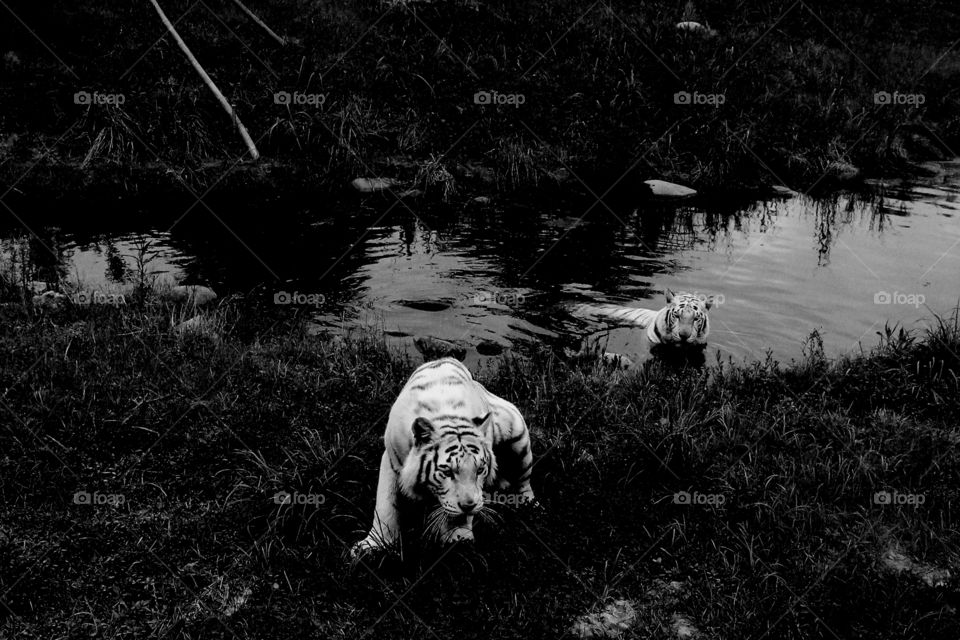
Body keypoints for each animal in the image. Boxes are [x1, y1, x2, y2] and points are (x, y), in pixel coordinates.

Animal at [350, 358, 536, 556]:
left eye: (479, 470)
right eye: (447, 472)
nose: (469, 505)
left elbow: (458, 517)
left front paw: (459, 539)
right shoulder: (391, 458)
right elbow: (385, 505)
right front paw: (374, 545)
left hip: (519, 437)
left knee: (524, 481)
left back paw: (530, 506)